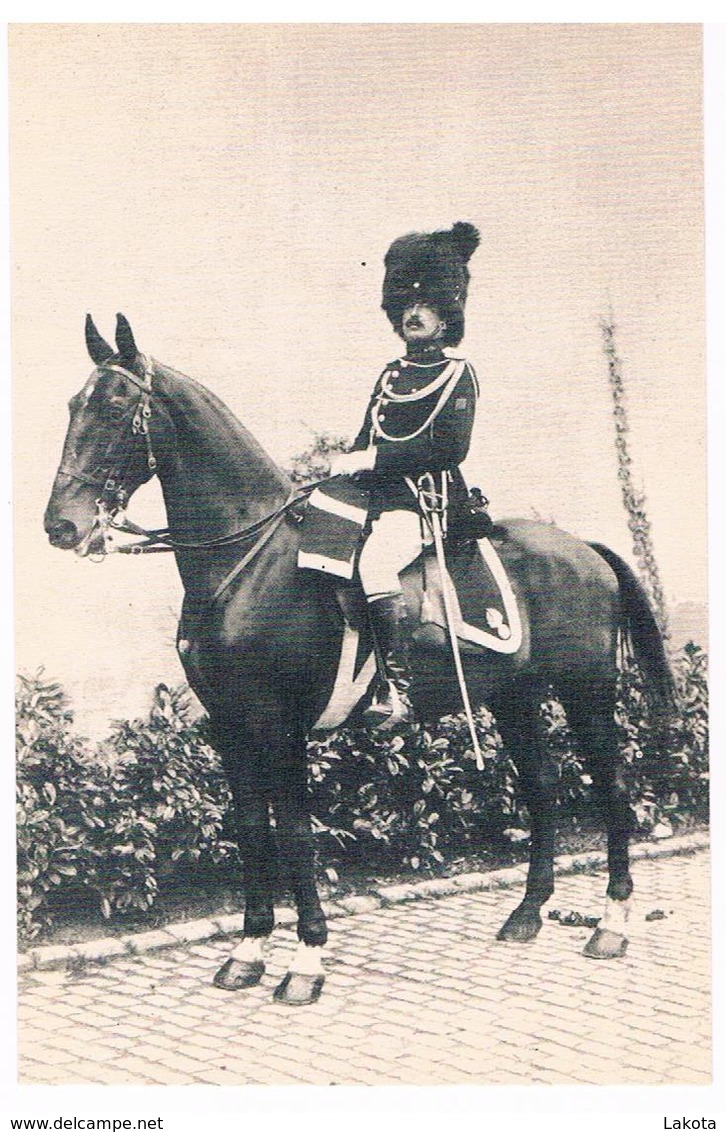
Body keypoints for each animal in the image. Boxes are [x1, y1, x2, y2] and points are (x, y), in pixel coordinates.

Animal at [42, 314, 670, 1005]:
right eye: (73, 405)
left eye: (115, 407)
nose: (61, 526)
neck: (248, 562)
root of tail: (581, 547)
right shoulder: (228, 725)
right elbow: (251, 829)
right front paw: (247, 951)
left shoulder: (276, 724)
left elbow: (293, 831)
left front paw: (305, 961)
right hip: (515, 697)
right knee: (541, 784)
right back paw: (528, 913)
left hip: (588, 693)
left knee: (613, 789)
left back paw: (610, 926)